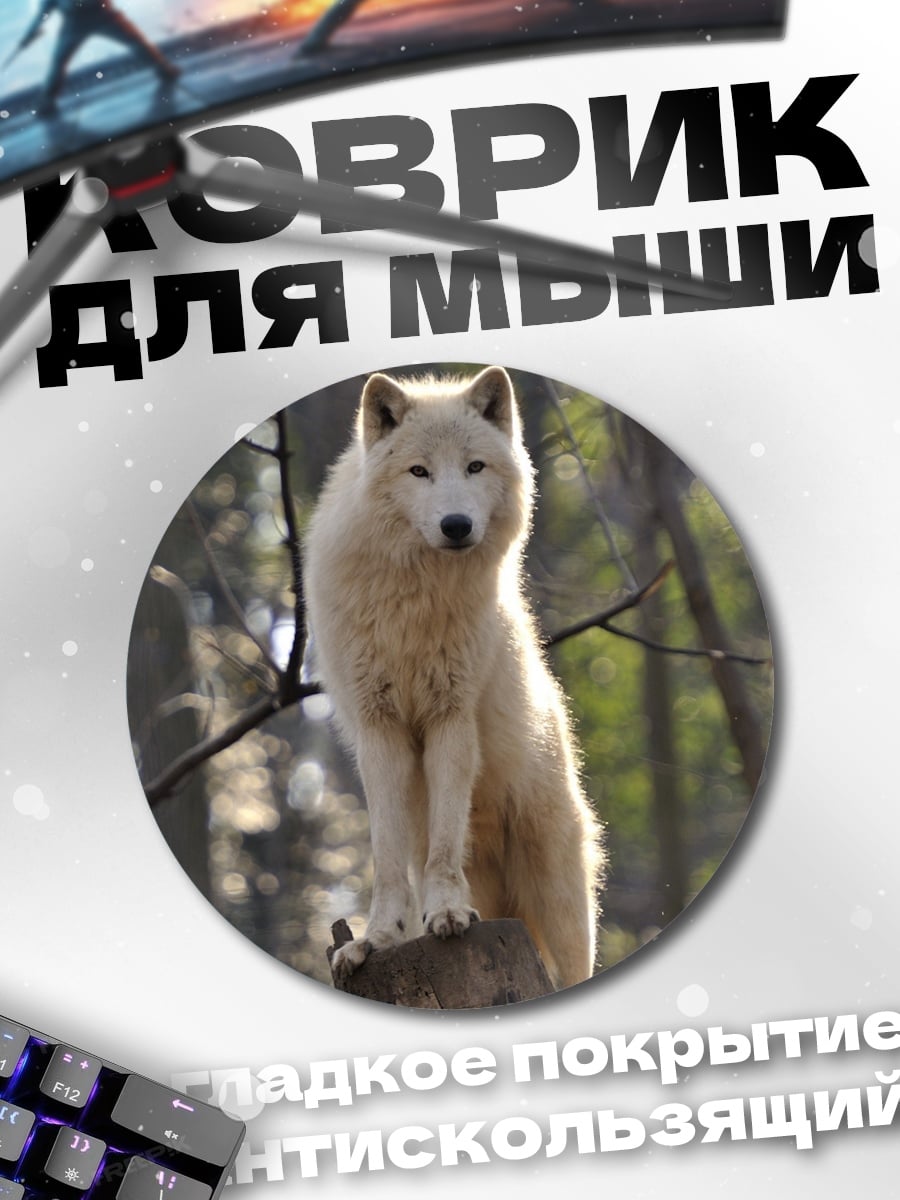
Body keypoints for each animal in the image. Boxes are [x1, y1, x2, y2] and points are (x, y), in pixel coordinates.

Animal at [303, 366, 604, 989]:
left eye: (474, 467)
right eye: (419, 471)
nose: (457, 525)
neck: (415, 599)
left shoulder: (451, 716)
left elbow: (445, 846)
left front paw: (446, 914)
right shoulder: (380, 729)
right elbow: (388, 858)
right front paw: (376, 939)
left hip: (560, 899)